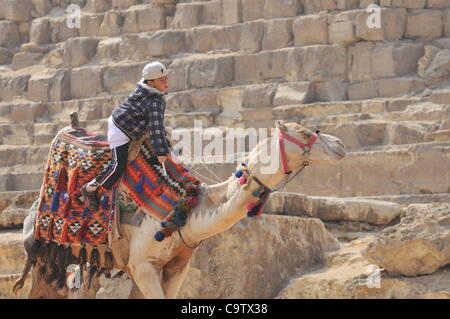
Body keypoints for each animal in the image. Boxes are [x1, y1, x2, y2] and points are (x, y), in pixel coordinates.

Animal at [13, 120, 344, 300]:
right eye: (303, 134)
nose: (340, 145)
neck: (187, 211)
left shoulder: (174, 267)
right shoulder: (142, 264)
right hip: (45, 255)